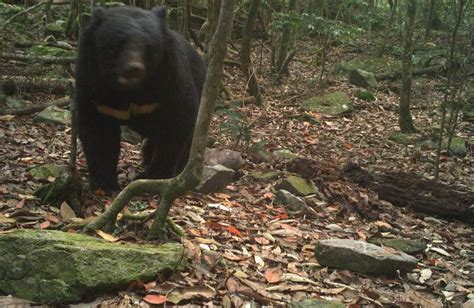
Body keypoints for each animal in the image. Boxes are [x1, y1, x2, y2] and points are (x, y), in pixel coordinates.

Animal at [76, 5, 206, 192]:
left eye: (149, 46)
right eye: (118, 42)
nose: (134, 69)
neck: (132, 91)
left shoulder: (171, 80)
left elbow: (178, 121)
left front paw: (153, 176)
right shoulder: (93, 85)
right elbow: (98, 130)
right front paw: (104, 182)